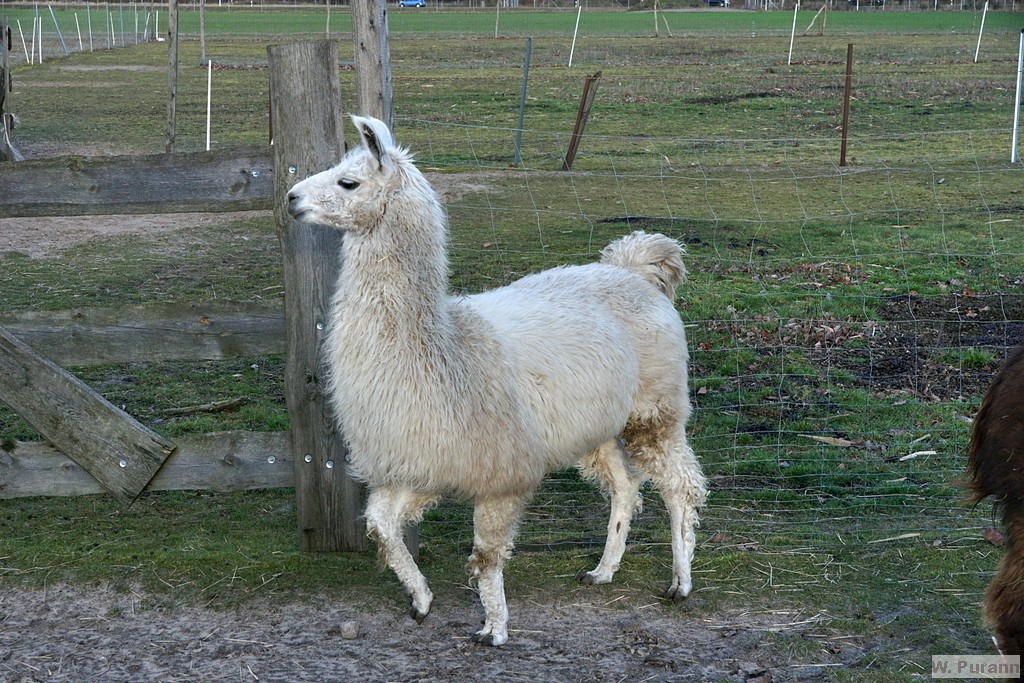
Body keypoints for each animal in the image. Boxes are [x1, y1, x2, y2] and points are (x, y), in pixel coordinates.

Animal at [285, 115, 707, 646]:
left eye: (348, 182)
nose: (291, 198)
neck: (444, 352)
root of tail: (633, 270)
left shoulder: (499, 470)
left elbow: (486, 558)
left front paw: (493, 628)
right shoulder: (419, 460)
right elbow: (382, 528)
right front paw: (421, 600)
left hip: (655, 406)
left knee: (681, 486)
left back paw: (680, 583)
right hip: (594, 425)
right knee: (625, 485)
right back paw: (602, 571)